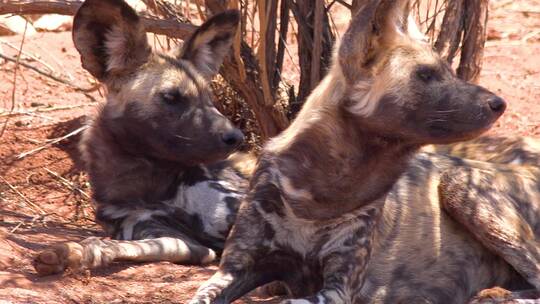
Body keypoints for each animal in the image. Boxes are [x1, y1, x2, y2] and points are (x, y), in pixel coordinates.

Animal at [32, 0, 258, 274]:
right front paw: (73, 253)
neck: (152, 186)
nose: (236, 137)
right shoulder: (181, 242)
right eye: (171, 97)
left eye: (208, 98)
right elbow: (118, 246)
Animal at [190, 0, 540, 304]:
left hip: (460, 184)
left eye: (448, 71)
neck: (320, 192)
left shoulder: (338, 288)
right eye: (425, 74)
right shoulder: (234, 270)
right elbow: (204, 295)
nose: (498, 103)